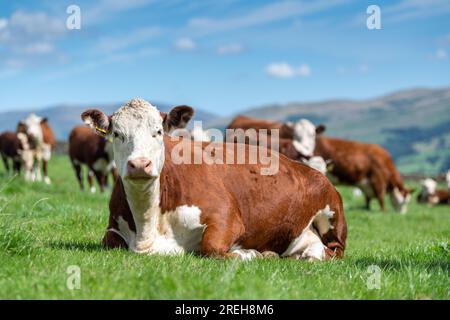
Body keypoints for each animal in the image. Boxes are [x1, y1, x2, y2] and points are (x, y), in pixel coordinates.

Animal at [81, 99, 348, 262]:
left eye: (158, 131)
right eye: (117, 134)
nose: (139, 164)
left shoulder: (226, 215)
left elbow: (211, 247)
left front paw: (252, 254)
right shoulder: (113, 227)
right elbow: (109, 241)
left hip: (332, 214)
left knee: (332, 251)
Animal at [227, 115, 414, 212]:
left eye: (313, 134)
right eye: (402, 202)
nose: (402, 213)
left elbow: (369, 199)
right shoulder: (377, 177)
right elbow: (381, 197)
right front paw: (383, 212)